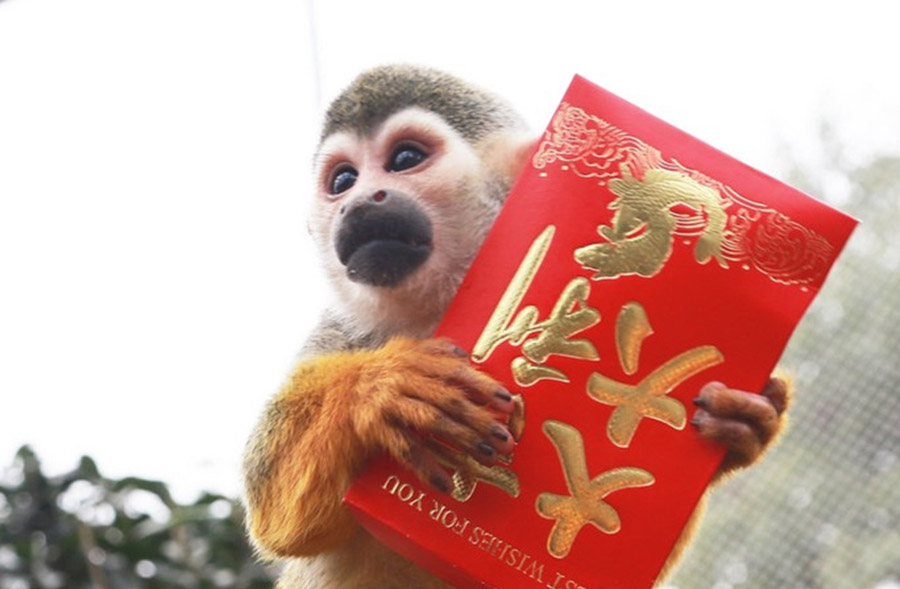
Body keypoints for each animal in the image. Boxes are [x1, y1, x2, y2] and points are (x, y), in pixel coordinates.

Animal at [242, 64, 790, 588]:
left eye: (404, 159)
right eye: (342, 182)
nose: (357, 203)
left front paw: (745, 423)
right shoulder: (344, 329)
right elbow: (279, 517)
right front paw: (378, 388)